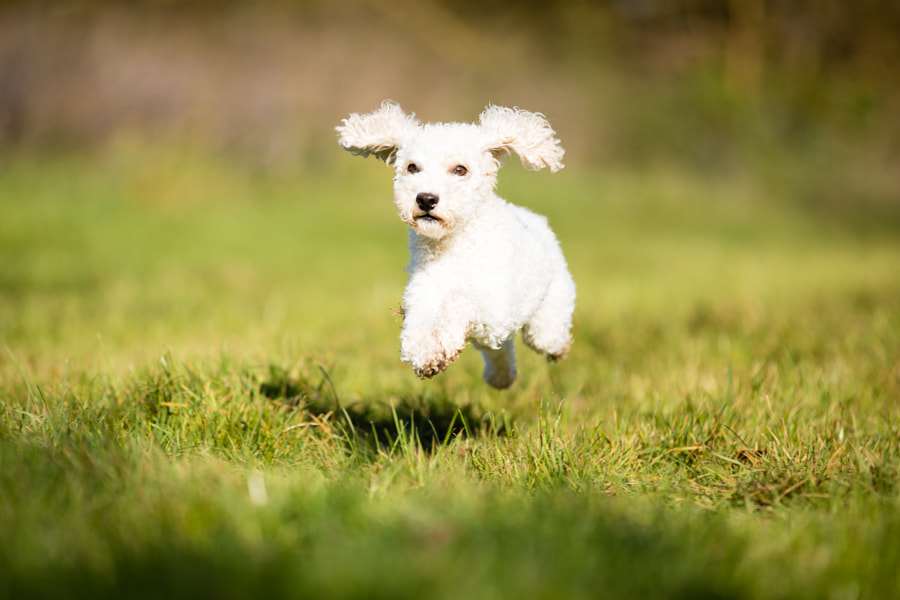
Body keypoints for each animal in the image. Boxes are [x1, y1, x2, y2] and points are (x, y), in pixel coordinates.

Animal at [338, 100, 576, 386]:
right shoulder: (422, 296)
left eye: (460, 170)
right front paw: (428, 355)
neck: (452, 247)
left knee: (544, 338)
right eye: (412, 167)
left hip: (547, 316)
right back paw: (501, 377)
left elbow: (460, 302)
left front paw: (444, 342)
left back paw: (558, 350)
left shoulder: (495, 308)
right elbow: (416, 331)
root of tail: (535, 219)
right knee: (497, 349)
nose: (426, 199)